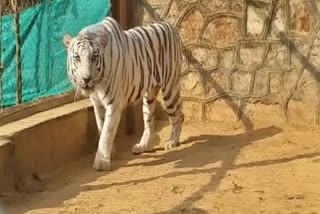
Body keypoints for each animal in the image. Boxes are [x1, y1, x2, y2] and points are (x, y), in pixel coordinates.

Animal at [62, 16, 184, 171]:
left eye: (94, 57)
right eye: (77, 57)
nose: (86, 78)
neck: (98, 84)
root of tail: (170, 26)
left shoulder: (113, 104)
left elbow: (107, 132)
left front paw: (101, 162)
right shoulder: (97, 104)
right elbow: (101, 127)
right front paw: (110, 153)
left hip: (170, 89)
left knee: (178, 116)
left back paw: (172, 141)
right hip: (149, 97)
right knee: (149, 123)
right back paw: (142, 146)